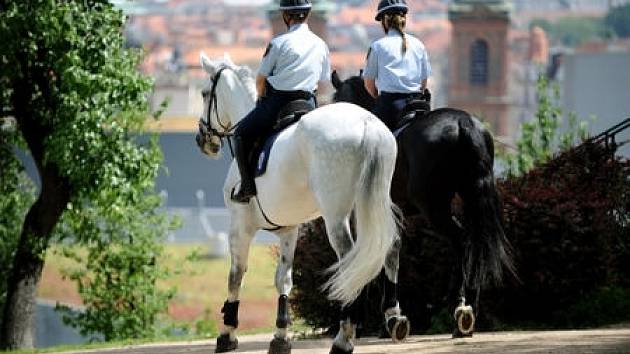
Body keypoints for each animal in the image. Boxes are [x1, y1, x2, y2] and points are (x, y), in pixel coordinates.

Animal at [198, 53, 402, 354]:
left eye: (203, 93)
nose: (203, 140)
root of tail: (367, 123)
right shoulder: (288, 230)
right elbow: (283, 279)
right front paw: (280, 336)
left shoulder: (240, 226)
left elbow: (236, 275)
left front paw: (227, 333)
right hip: (373, 203)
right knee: (389, 246)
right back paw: (394, 318)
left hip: (336, 215)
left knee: (350, 260)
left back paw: (344, 338)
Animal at [334, 71, 516, 338]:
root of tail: (463, 123)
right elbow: (392, 251)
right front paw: (391, 316)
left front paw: (385, 316)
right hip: (471, 197)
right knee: (474, 241)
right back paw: (467, 310)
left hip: (434, 207)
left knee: (460, 240)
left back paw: (458, 303)